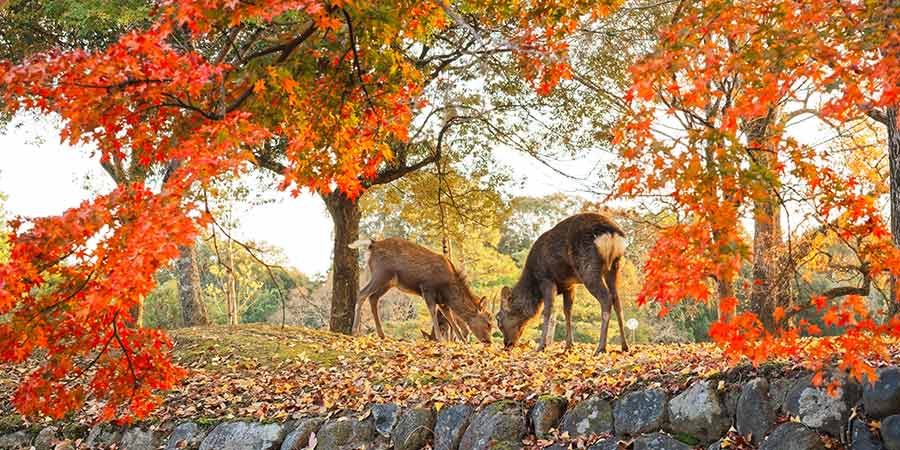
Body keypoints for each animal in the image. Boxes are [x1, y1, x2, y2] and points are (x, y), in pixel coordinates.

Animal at [349, 237, 492, 344]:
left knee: (373, 297)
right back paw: (354, 331)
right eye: (488, 323)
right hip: (381, 273)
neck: (448, 288)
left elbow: (449, 318)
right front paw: (440, 339)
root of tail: (372, 244)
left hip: (389, 282)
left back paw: (382, 334)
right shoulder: (427, 288)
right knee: (362, 293)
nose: (488, 341)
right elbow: (433, 311)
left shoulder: (443, 301)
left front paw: (462, 341)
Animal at [496, 212, 628, 354]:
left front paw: (541, 346)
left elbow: (548, 311)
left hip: (588, 267)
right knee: (617, 300)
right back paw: (624, 346)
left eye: (499, 318)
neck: (533, 280)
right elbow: (567, 311)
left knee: (606, 299)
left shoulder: (546, 279)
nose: (507, 344)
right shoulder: (569, 285)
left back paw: (601, 347)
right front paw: (569, 345)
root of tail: (612, 234)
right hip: (615, 266)